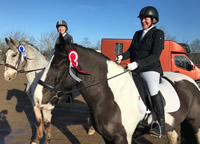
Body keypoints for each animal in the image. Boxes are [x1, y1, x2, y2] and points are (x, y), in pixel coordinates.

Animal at [34, 34, 200, 143]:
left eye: (57, 65)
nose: (36, 98)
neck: (110, 96)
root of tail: (192, 82)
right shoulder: (107, 137)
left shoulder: (122, 138)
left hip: (195, 123)